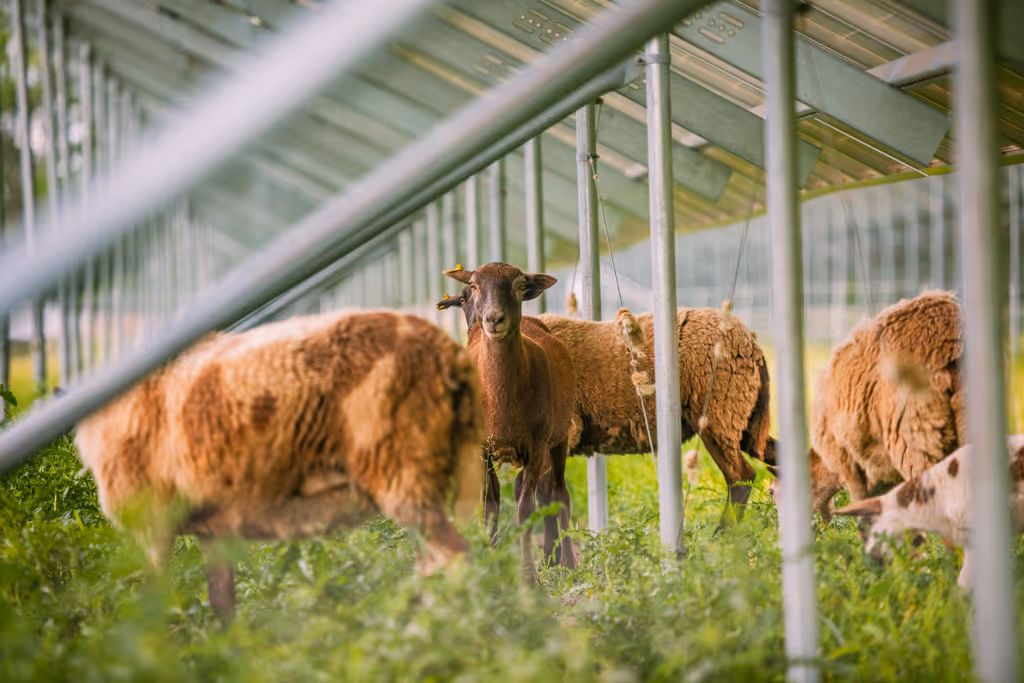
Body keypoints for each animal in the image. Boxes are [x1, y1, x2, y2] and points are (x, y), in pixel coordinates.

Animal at [75, 309, 484, 622]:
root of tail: (445, 350)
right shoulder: (214, 532)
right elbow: (222, 605)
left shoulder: (153, 525)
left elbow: (153, 602)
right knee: (432, 564)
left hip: (402, 476)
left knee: (457, 558)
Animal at [439, 263, 577, 580]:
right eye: (473, 287)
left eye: (519, 286)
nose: (493, 319)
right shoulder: (482, 450)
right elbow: (490, 506)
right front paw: (493, 570)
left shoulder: (537, 446)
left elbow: (525, 509)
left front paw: (528, 577)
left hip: (559, 438)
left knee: (559, 493)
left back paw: (568, 564)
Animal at [440, 286, 775, 529]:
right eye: (464, 301)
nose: (490, 324)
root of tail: (751, 343)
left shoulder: (560, 434)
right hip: (743, 419)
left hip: (719, 413)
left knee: (741, 477)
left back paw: (722, 540)